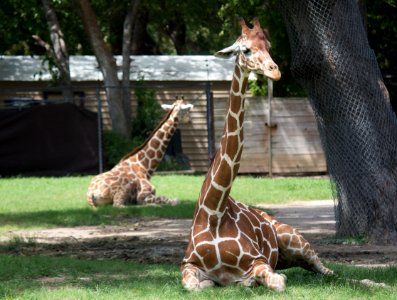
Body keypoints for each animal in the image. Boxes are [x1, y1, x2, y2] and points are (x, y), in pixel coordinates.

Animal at [179, 17, 332, 292]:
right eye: (246, 50)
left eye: (268, 46)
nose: (275, 71)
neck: (214, 212)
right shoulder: (187, 264)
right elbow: (194, 285)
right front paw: (211, 283)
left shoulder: (259, 261)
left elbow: (277, 282)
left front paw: (249, 282)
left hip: (293, 239)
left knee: (326, 270)